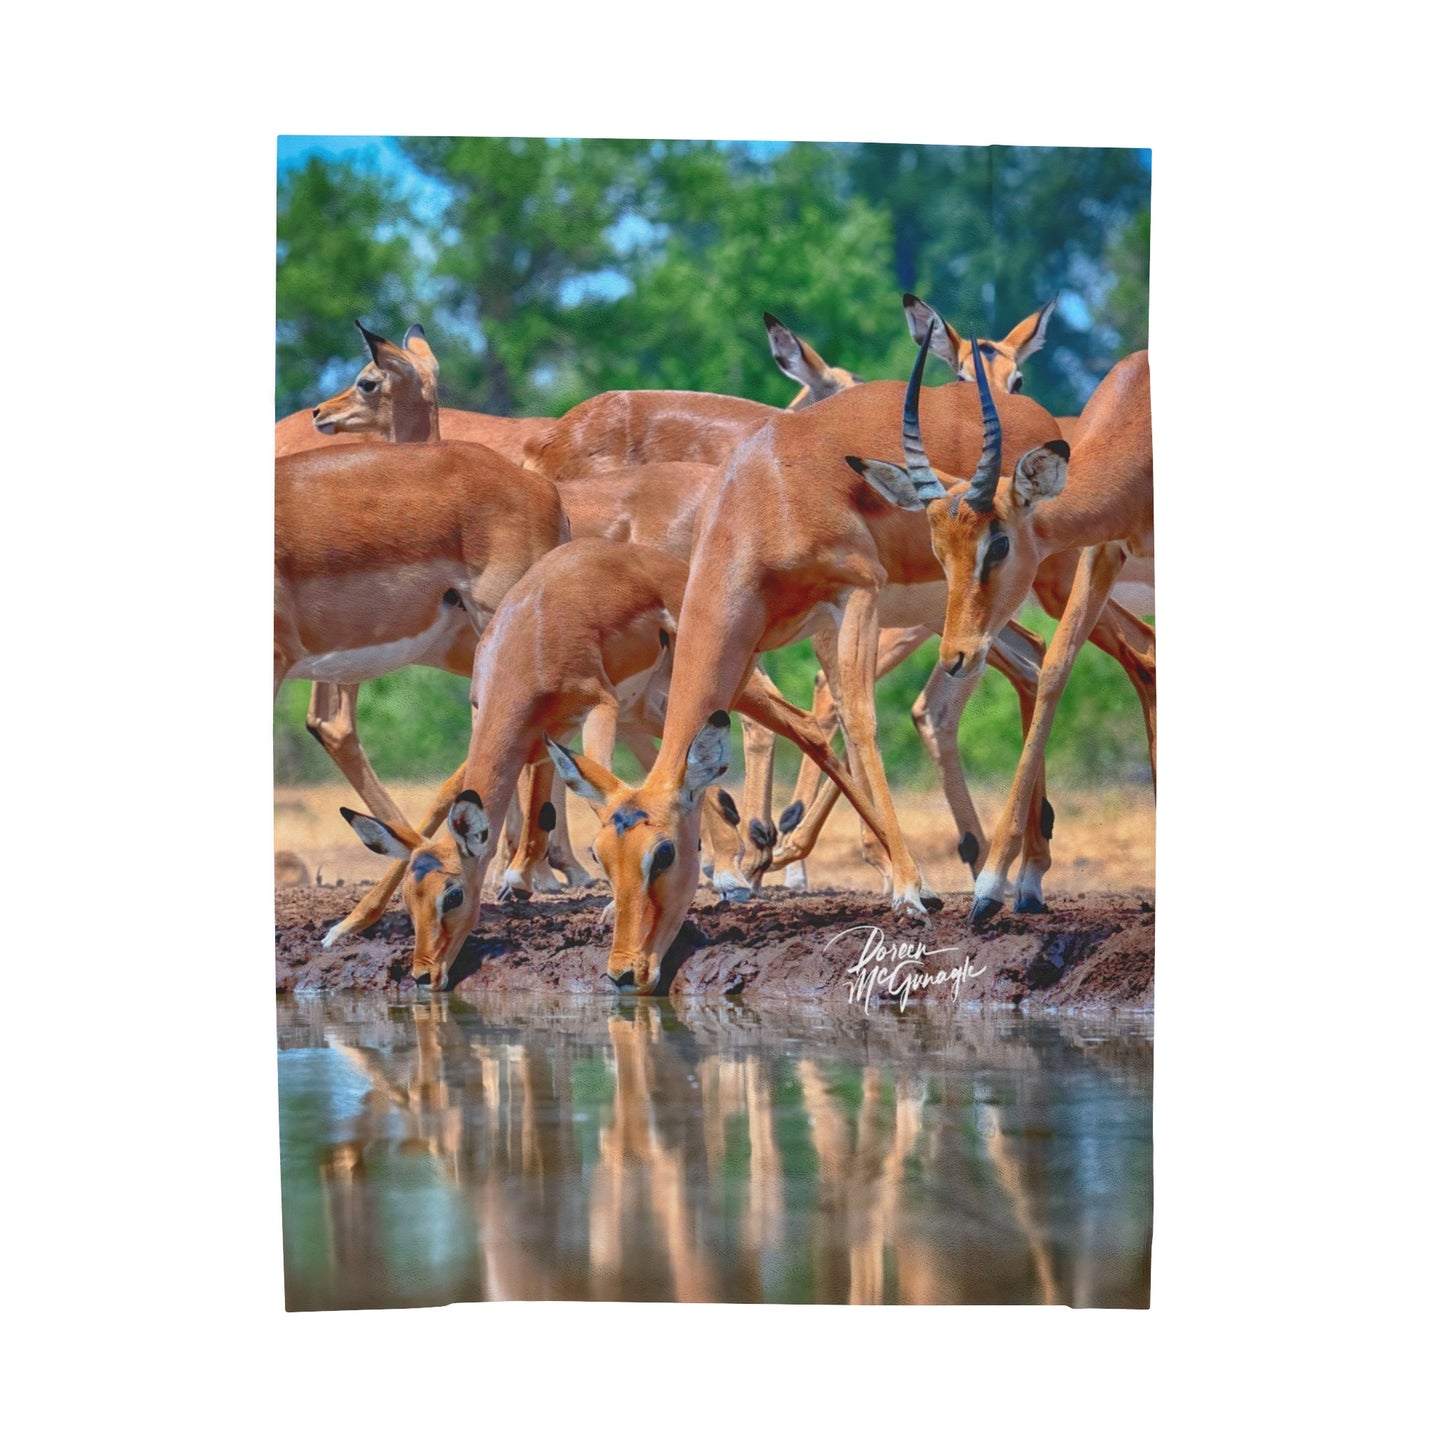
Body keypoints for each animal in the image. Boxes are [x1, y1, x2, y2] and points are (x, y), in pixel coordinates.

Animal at [326, 537, 889, 990]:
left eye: (453, 896)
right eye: (411, 898)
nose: (424, 975)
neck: (528, 639)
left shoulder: (598, 706)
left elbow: (604, 795)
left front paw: (606, 908)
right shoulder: (526, 737)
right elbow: (444, 798)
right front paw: (347, 925)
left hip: (718, 689)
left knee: (806, 729)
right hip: (653, 709)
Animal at [848, 337, 1152, 920]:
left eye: (999, 544)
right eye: (939, 551)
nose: (956, 656)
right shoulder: (1103, 550)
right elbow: (1054, 669)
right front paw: (991, 887)